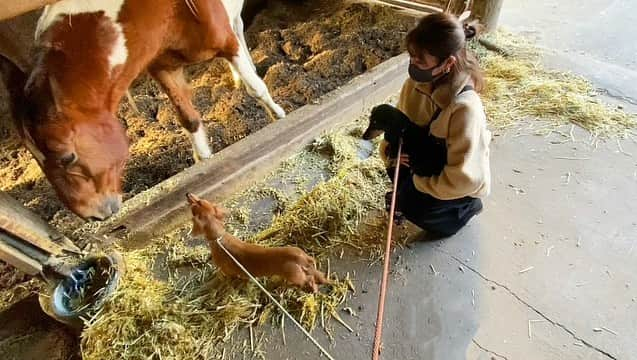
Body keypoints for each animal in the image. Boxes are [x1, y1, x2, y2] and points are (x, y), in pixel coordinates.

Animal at [0, 0, 284, 221]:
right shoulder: (164, 68)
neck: (168, 10)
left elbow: (256, 88)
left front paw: (278, 116)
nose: (92, 215)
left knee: (239, 29)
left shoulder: (227, 44)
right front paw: (205, 160)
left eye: (67, 157)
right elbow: (188, 119)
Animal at [186, 193, 330, 292]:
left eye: (195, 205)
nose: (187, 193)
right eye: (202, 200)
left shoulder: (226, 272)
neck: (219, 238)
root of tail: (301, 258)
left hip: (295, 276)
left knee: (308, 280)